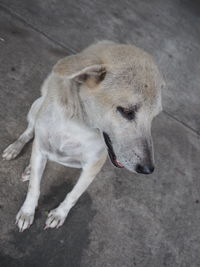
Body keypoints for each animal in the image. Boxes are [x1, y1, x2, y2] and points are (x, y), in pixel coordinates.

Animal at [1, 40, 164, 231]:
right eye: (127, 111)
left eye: (154, 116)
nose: (148, 169)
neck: (77, 124)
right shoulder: (40, 148)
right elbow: (34, 187)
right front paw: (27, 212)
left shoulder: (92, 167)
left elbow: (74, 195)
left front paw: (59, 214)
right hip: (36, 106)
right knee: (29, 133)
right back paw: (16, 150)